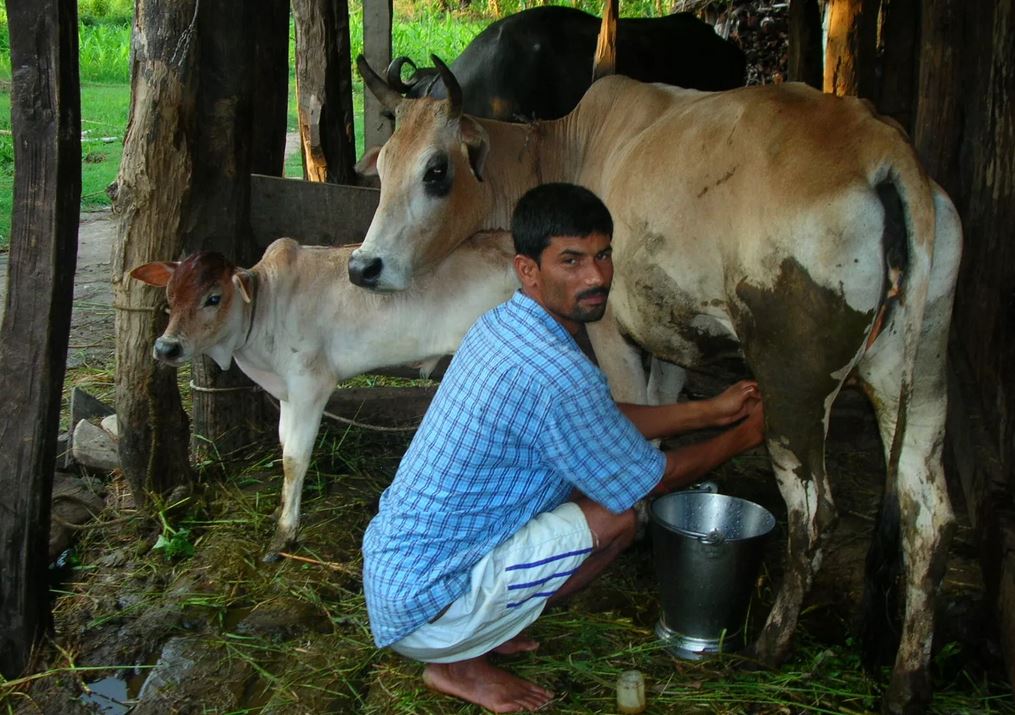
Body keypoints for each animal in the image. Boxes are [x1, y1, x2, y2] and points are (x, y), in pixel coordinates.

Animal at [130, 231, 519, 560]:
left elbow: (294, 458)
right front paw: (280, 508)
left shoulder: (310, 385)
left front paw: (284, 533)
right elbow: (283, 443)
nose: (166, 347)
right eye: (169, 297)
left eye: (213, 298)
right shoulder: (287, 392)